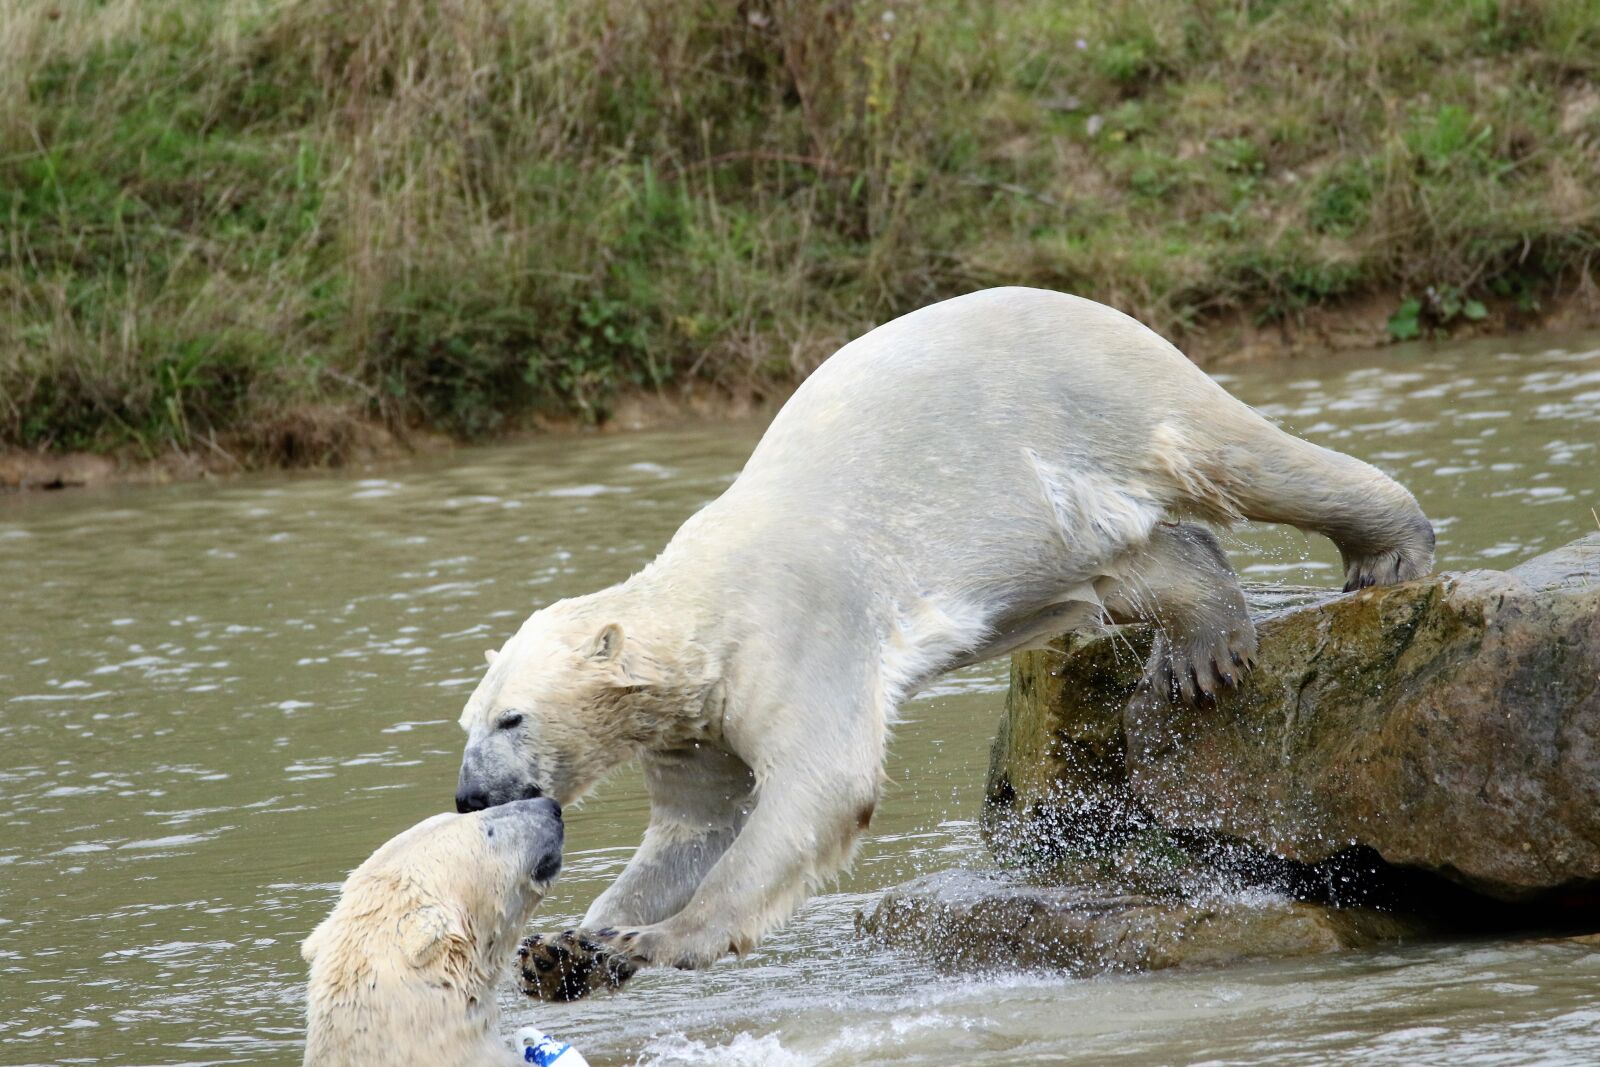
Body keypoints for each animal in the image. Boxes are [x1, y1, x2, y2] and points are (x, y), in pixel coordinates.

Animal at [452, 287, 1435, 981]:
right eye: (470, 720)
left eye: (511, 718)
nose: (468, 796)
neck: (705, 610)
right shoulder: (695, 718)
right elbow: (697, 824)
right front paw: (570, 945)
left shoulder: (797, 634)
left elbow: (816, 788)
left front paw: (660, 940)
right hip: (1067, 505)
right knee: (1144, 555)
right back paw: (1202, 646)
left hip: (1097, 398)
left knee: (1242, 458)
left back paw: (1389, 551)